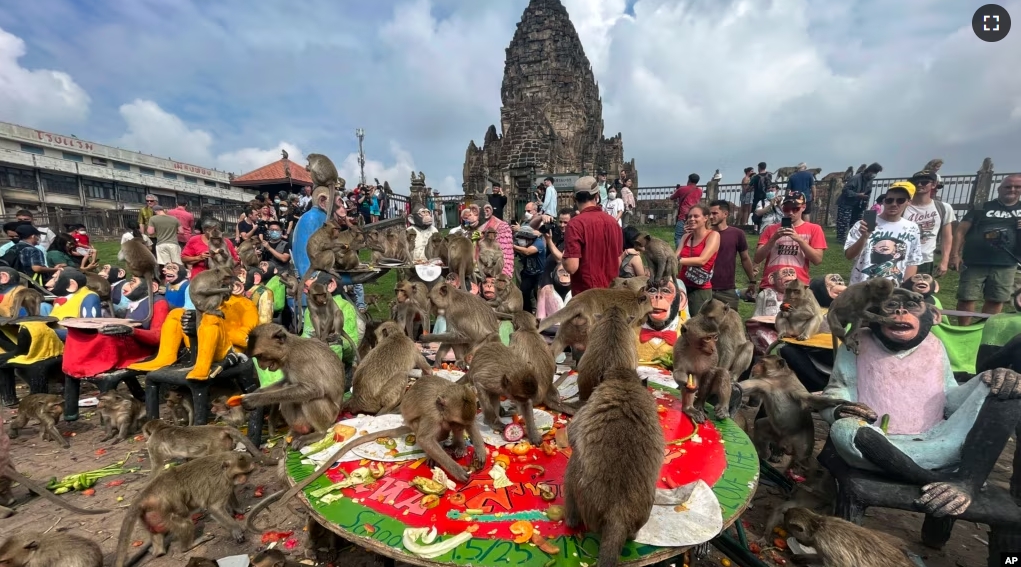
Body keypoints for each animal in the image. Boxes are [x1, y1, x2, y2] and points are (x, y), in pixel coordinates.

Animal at [111, 453, 253, 567]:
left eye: (247, 473)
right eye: (240, 474)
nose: (244, 479)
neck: (223, 462)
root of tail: (145, 494)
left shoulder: (227, 483)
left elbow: (229, 495)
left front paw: (239, 510)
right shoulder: (221, 482)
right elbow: (215, 507)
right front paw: (236, 530)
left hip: (149, 515)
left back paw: (157, 552)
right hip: (165, 508)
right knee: (184, 522)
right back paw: (188, 546)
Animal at [141, 420, 275, 469]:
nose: (144, 436)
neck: (161, 427)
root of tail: (220, 428)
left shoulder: (152, 443)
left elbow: (157, 467)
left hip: (216, 445)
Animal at [247, 375, 485, 531]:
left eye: (463, 421)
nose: (459, 426)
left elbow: (471, 423)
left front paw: (479, 452)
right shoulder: (433, 416)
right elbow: (426, 439)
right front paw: (457, 470)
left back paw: (458, 445)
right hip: (417, 423)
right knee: (428, 433)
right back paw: (434, 454)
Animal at [563, 367, 665, 567]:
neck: (624, 383)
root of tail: (618, 514)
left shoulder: (588, 405)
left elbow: (572, 434)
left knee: (573, 464)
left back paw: (571, 519)